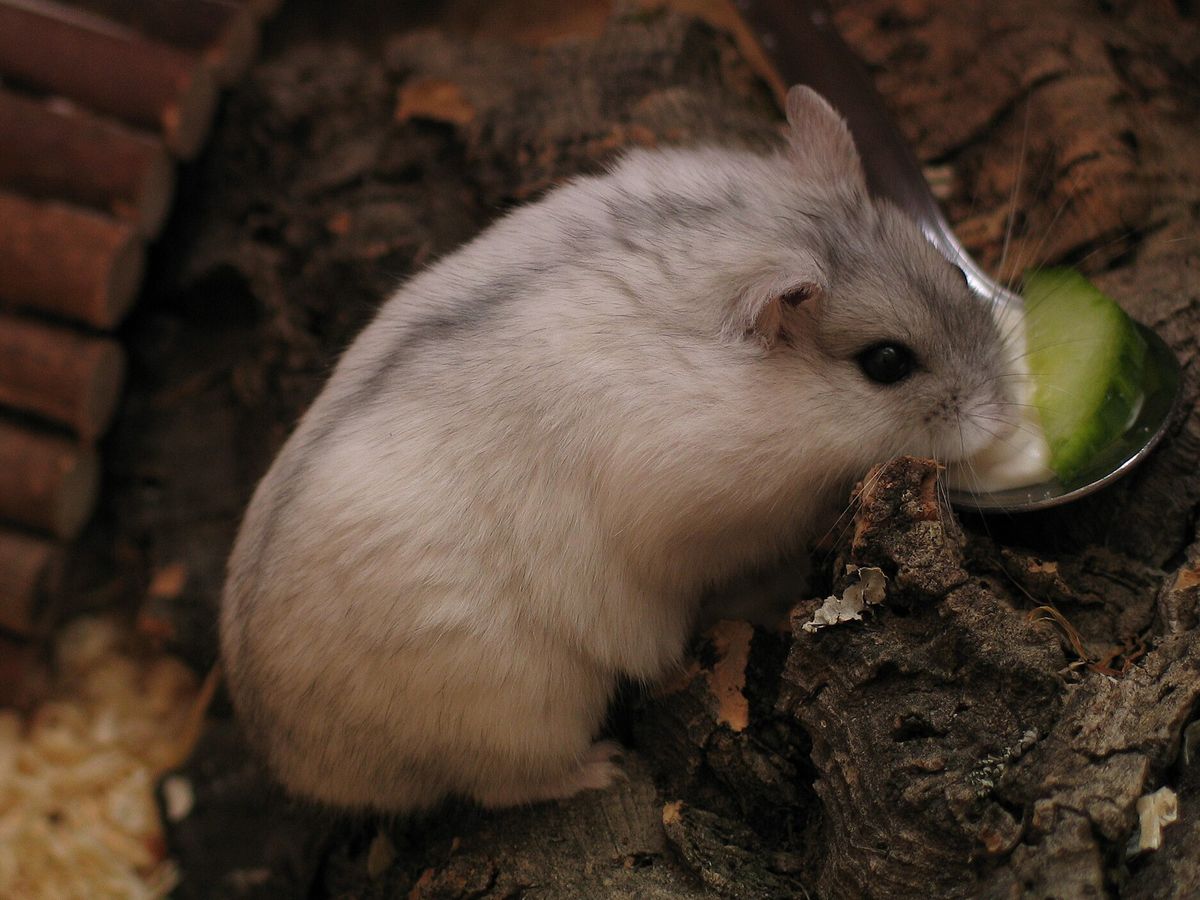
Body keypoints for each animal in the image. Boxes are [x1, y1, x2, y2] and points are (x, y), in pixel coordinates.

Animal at [219, 86, 1015, 812]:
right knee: (503, 786)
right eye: (887, 363)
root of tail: (284, 757)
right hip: (523, 711)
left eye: (953, 273)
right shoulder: (708, 523)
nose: (1005, 417)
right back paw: (604, 768)